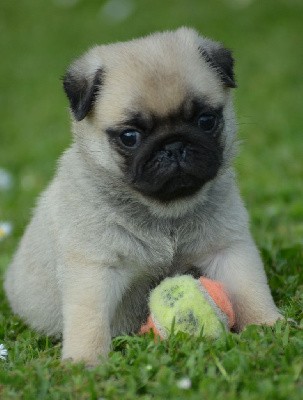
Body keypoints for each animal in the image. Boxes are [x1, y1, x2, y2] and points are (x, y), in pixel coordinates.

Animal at [4, 28, 282, 366]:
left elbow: (249, 289)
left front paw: (266, 326)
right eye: (130, 137)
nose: (173, 146)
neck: (165, 212)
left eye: (205, 120)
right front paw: (85, 363)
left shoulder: (227, 248)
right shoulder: (94, 269)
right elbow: (89, 319)